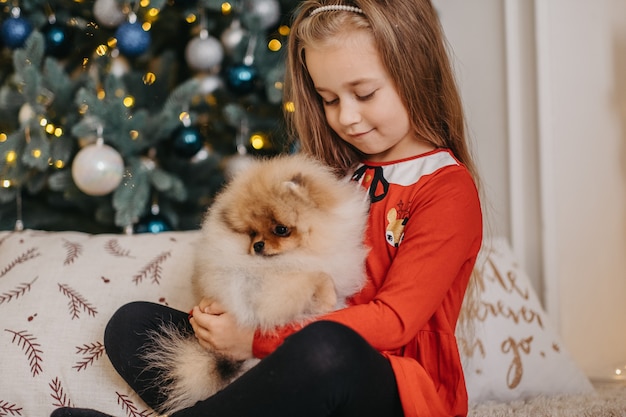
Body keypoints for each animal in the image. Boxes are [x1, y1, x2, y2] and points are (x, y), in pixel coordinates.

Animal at [144, 153, 368, 412]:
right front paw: (327, 299)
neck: (297, 256)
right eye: (251, 233)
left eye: (281, 229)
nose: (258, 245)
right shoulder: (269, 287)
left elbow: (324, 274)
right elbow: (316, 277)